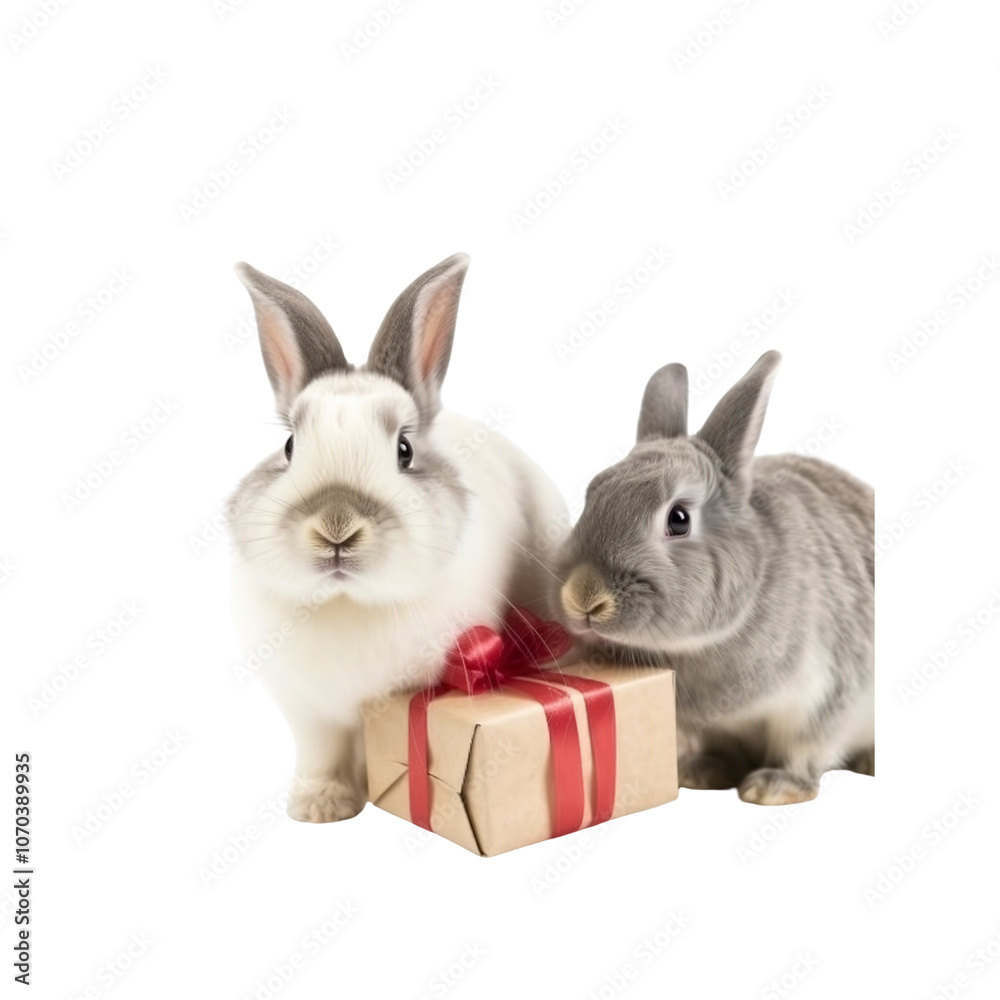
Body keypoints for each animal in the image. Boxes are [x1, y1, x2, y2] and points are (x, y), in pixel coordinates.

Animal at [227, 253, 568, 822]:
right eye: (290, 447)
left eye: (404, 450)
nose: (336, 528)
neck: (347, 602)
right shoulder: (309, 713)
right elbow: (320, 754)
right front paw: (320, 808)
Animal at [553, 351, 873, 805]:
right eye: (592, 495)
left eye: (679, 519)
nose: (583, 597)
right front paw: (699, 774)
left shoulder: (828, 691)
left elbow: (806, 745)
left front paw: (772, 788)